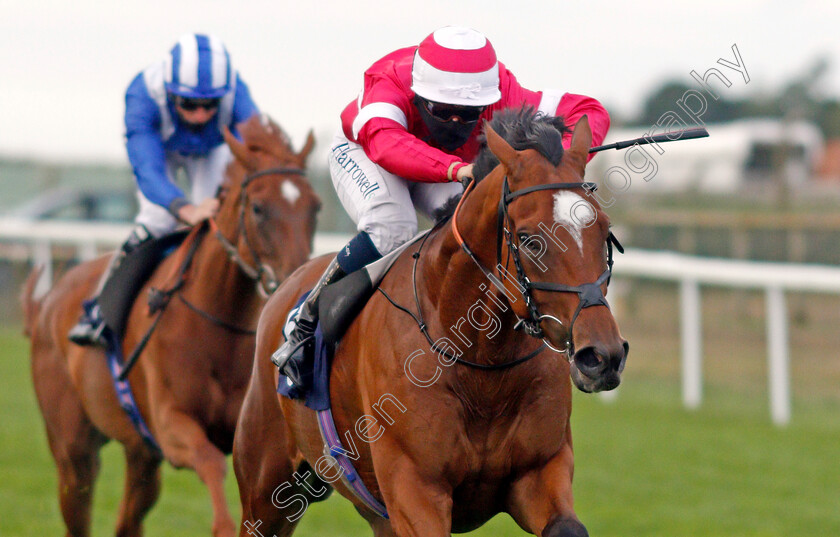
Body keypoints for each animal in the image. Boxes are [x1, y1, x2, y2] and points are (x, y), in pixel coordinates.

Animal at [21, 115, 322, 536]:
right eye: (259, 208)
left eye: (315, 207)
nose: (295, 277)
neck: (220, 323)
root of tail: (47, 302)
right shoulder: (170, 423)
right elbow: (209, 461)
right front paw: (222, 524)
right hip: (73, 449)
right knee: (78, 497)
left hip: (141, 455)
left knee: (128, 520)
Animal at [233, 110, 628, 536]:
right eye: (529, 240)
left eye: (604, 231)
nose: (601, 356)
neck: (483, 366)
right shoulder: (414, 488)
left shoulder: (540, 470)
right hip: (268, 489)